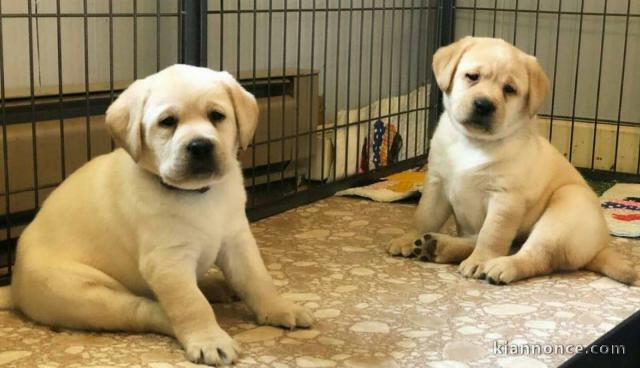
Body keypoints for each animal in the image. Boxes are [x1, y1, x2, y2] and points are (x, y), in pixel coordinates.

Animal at [0, 64, 312, 366]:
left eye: (217, 116)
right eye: (167, 122)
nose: (200, 146)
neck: (198, 194)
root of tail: (14, 289)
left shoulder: (237, 240)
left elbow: (258, 279)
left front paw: (279, 308)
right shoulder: (167, 262)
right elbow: (190, 304)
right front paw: (209, 339)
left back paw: (214, 285)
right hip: (85, 293)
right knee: (148, 309)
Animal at [388, 37, 636, 286]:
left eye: (509, 89)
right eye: (472, 76)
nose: (484, 104)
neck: (474, 143)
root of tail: (599, 248)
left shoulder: (505, 198)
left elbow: (492, 234)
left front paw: (480, 260)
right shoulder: (437, 183)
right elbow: (424, 216)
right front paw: (408, 239)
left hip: (566, 208)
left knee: (534, 254)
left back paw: (497, 265)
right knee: (501, 242)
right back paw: (436, 245)